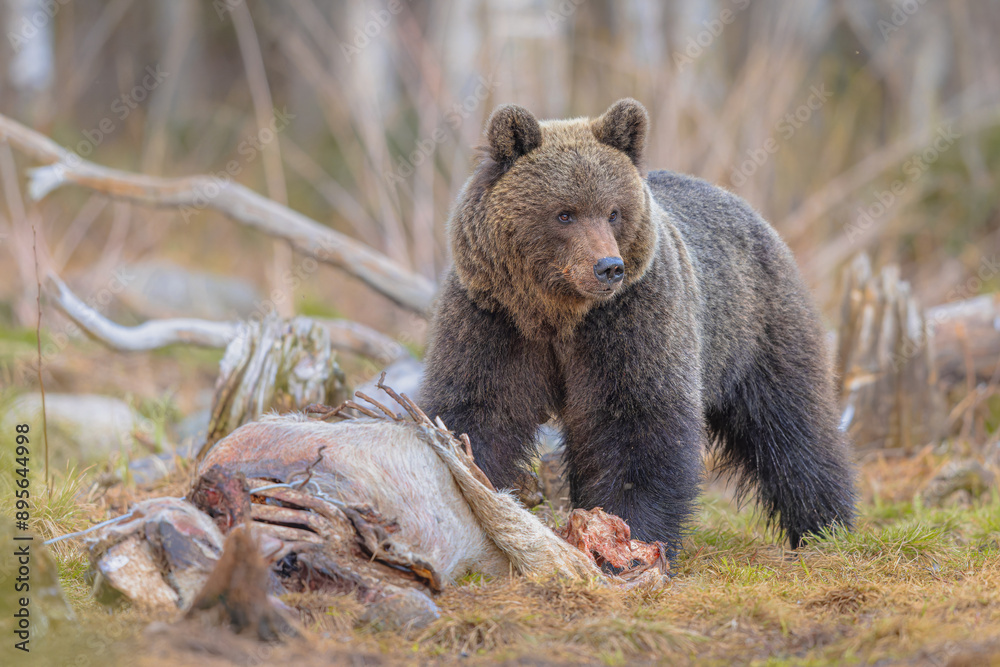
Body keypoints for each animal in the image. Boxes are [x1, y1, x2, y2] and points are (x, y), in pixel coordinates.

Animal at [420, 98, 856, 554]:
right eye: (564, 213)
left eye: (613, 212)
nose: (608, 267)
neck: (558, 314)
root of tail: (744, 206)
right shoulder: (493, 318)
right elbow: (478, 406)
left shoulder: (632, 317)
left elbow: (637, 420)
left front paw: (629, 534)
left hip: (756, 326)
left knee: (793, 423)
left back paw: (825, 524)